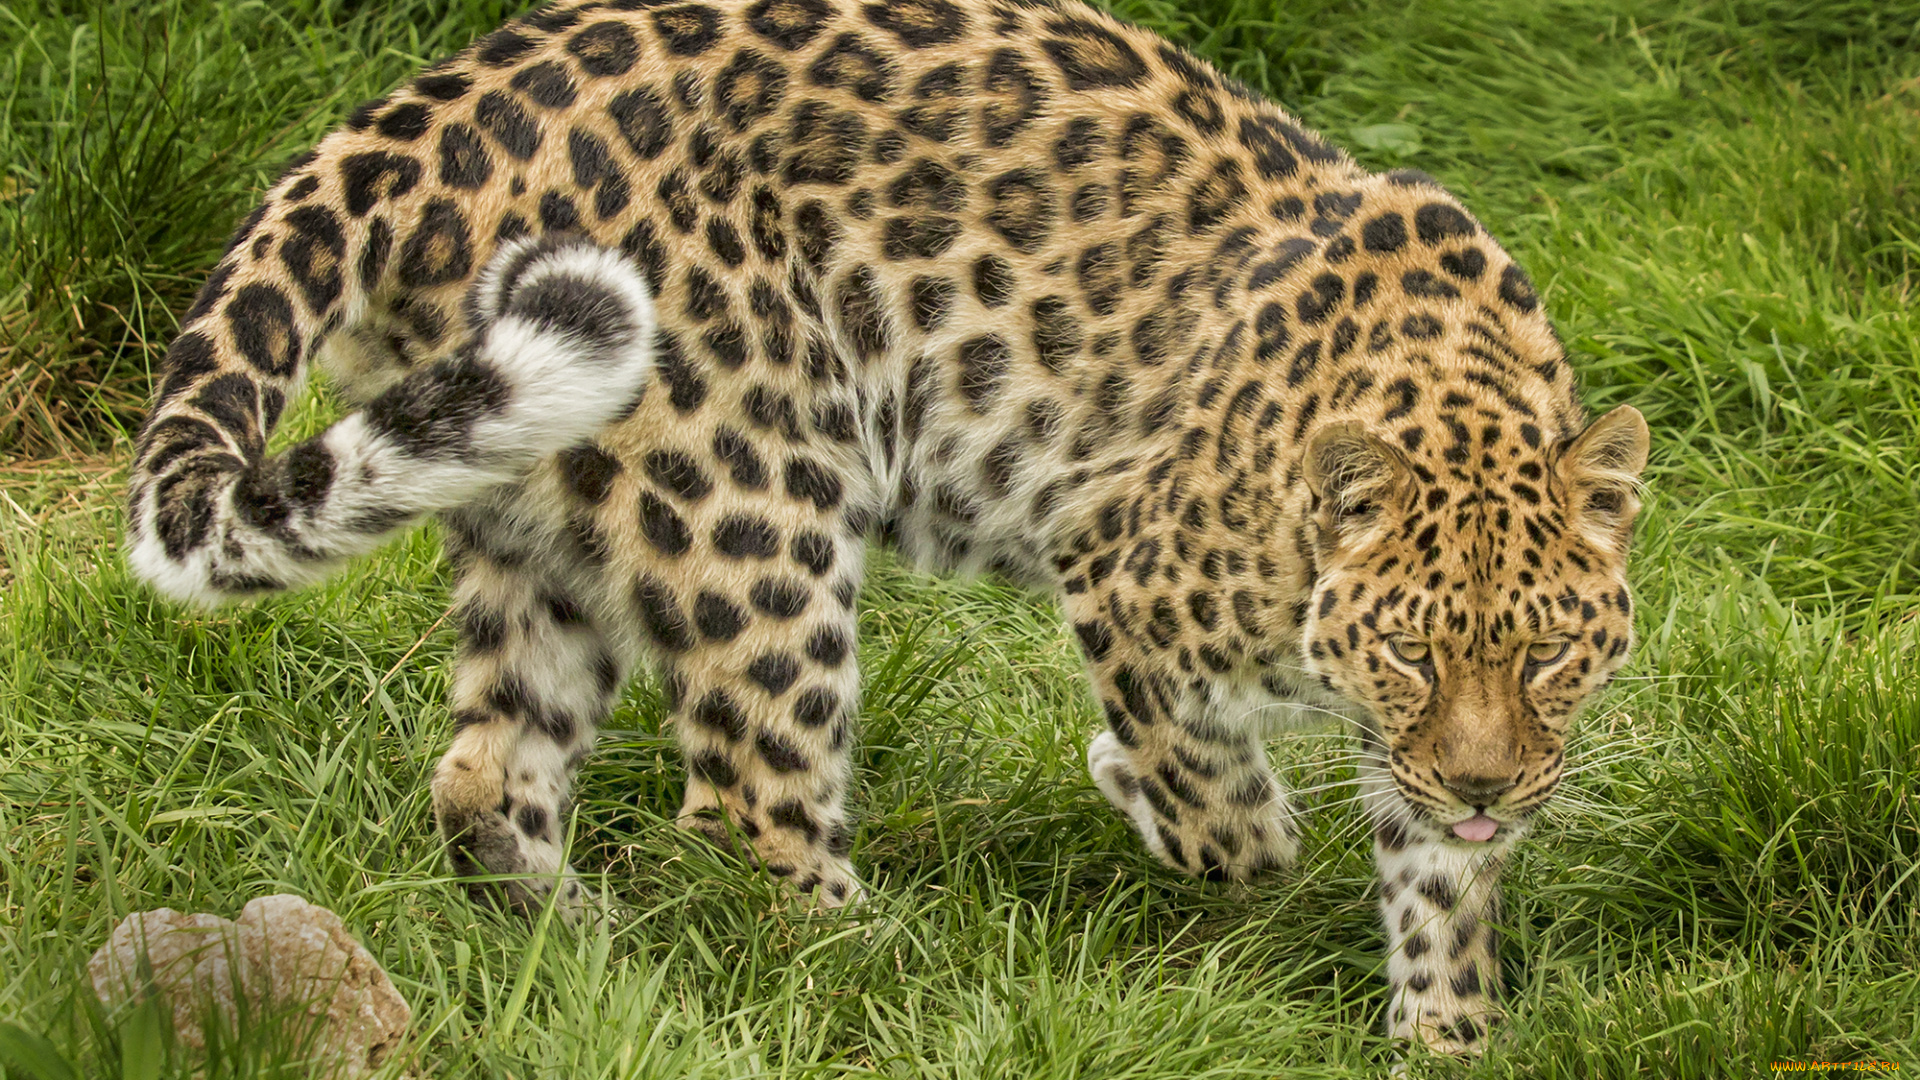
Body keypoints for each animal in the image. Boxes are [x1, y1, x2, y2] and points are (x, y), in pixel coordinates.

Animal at [122, 0, 1651, 1055]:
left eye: (1547, 655)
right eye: (1409, 652)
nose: (1485, 786)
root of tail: (412, 114)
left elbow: (1439, 892)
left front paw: (1448, 1035)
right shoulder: (1118, 566)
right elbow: (1227, 811)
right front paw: (1149, 790)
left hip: (526, 502)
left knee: (488, 769)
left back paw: (585, 952)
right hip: (753, 507)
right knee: (745, 803)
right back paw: (873, 968)